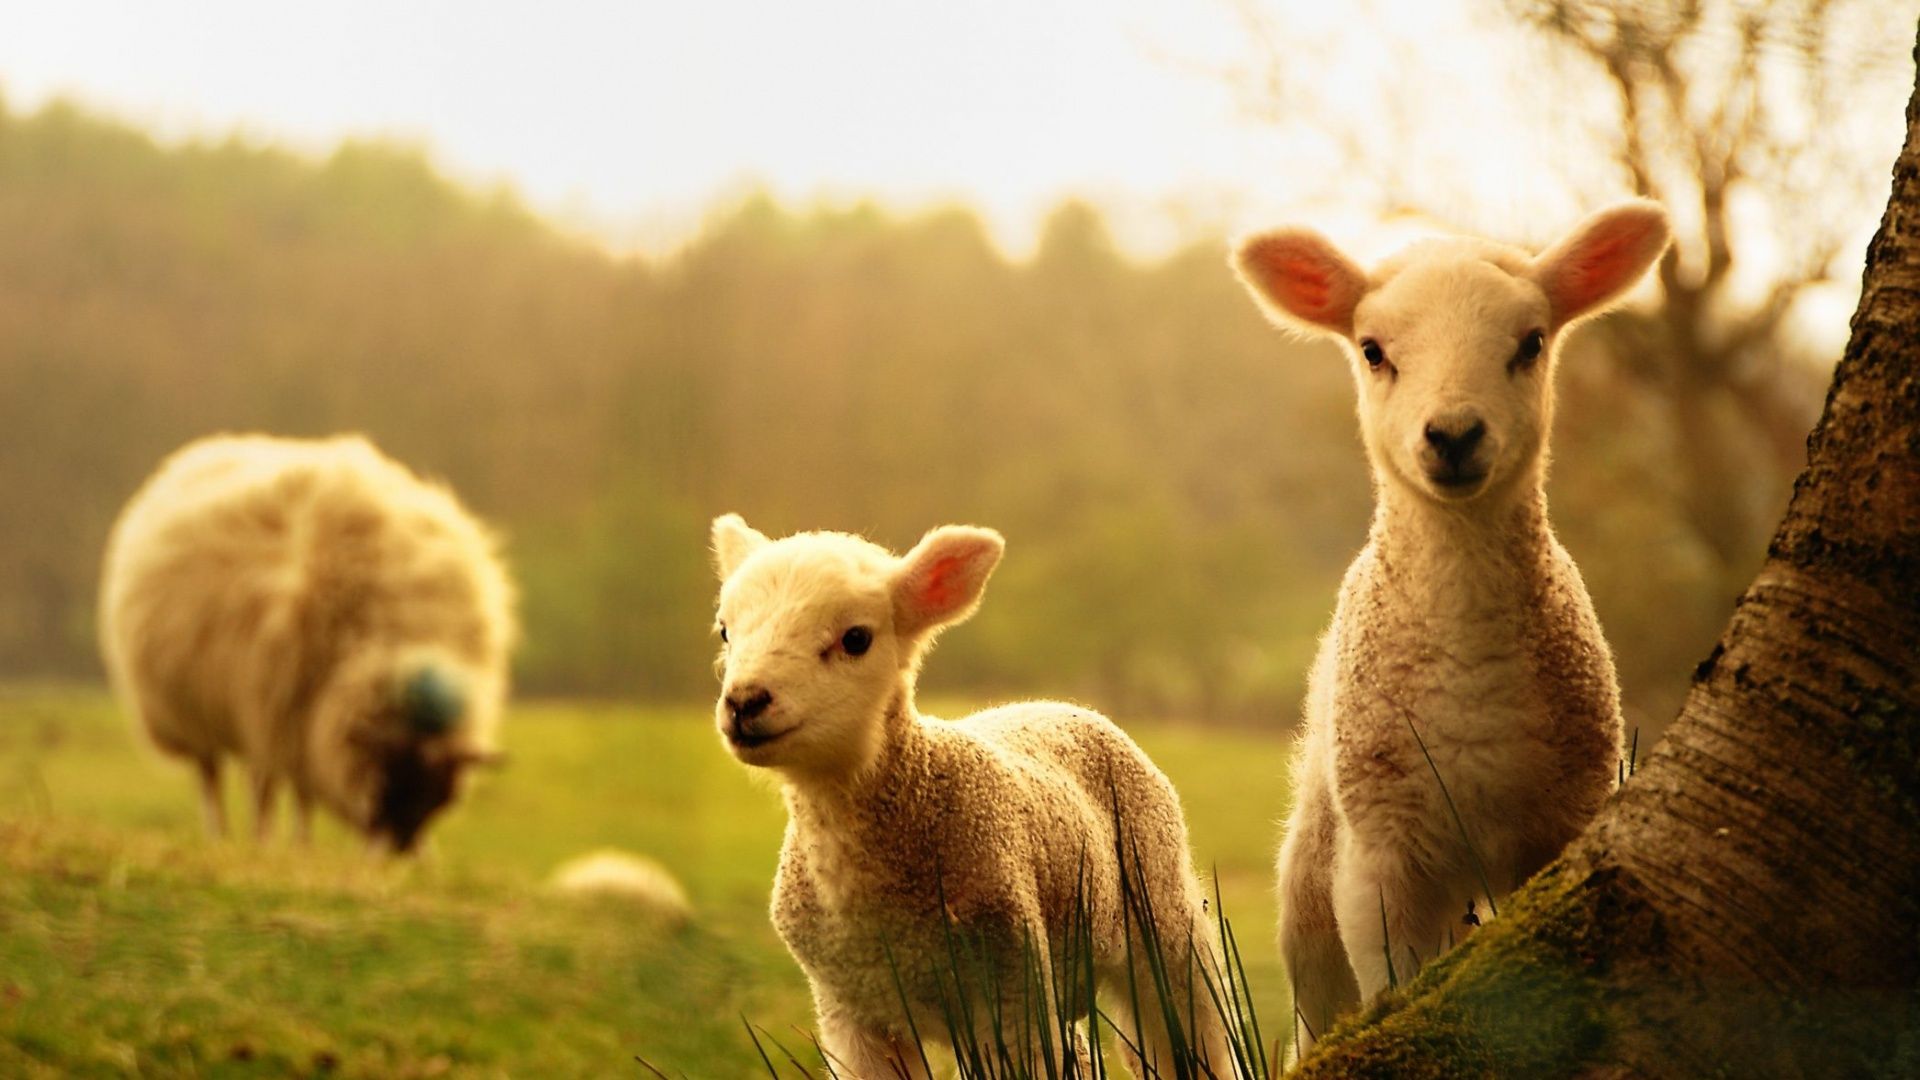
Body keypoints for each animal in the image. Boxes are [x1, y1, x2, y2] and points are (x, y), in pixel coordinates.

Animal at [98, 433, 516, 853]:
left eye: (440, 795)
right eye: (387, 775)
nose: (399, 853)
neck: (396, 641)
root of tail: (205, 449)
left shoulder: (303, 723)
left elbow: (302, 791)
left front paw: (301, 848)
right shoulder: (282, 710)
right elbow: (284, 790)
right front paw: (284, 845)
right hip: (191, 713)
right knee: (212, 777)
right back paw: (226, 836)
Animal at [710, 514, 1235, 1079]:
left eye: (856, 638)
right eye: (725, 631)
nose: (744, 702)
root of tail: (1061, 704)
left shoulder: (1011, 989)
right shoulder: (852, 1013)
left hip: (1162, 913)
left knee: (1191, 1032)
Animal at [1230, 201, 1671, 1049]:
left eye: (1531, 343)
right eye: (1373, 351)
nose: (1455, 435)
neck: (1469, 663)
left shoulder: (1559, 824)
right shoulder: (1382, 854)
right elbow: (1389, 986)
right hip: (1312, 878)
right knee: (1317, 1007)